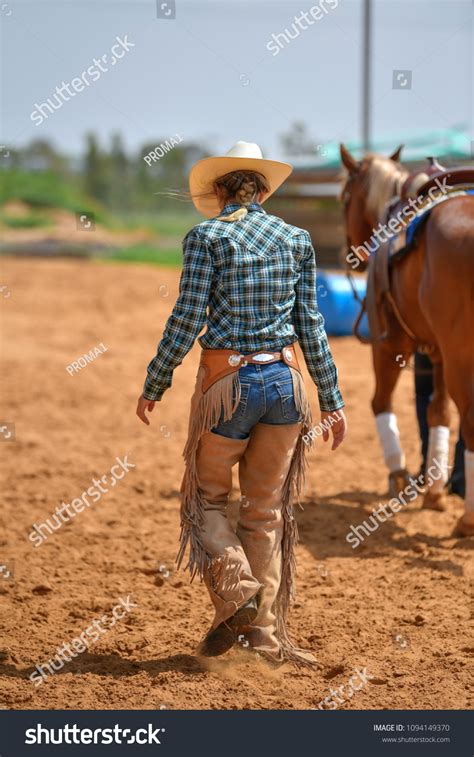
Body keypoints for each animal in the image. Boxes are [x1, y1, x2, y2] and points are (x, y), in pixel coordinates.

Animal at [338, 145, 474, 536]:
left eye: (345, 197)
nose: (351, 252)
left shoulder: (389, 347)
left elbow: (379, 402)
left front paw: (398, 474)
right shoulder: (439, 353)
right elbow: (438, 412)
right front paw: (435, 492)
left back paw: (467, 520)